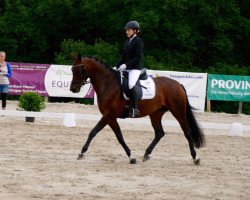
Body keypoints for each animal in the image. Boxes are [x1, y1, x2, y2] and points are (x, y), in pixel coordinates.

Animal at [70, 55, 205, 164]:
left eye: (78, 70)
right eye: (72, 69)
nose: (73, 89)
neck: (107, 84)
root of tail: (178, 84)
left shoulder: (108, 115)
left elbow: (93, 132)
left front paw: (81, 153)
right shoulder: (111, 117)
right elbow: (119, 137)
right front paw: (131, 157)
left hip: (178, 111)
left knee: (187, 132)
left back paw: (195, 158)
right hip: (156, 114)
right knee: (159, 133)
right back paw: (146, 154)